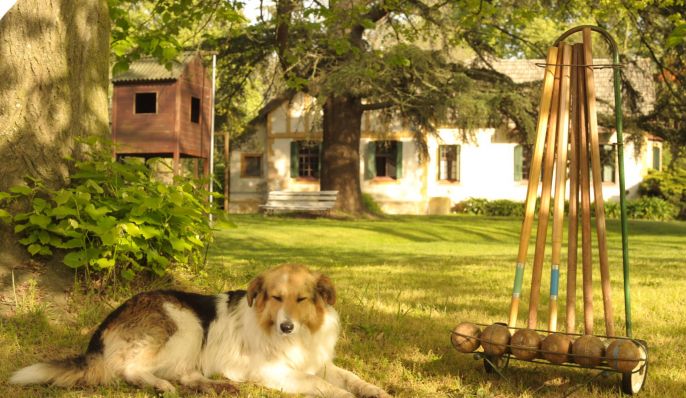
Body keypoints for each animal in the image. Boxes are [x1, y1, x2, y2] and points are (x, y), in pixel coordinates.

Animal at [9, 262, 392, 396]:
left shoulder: (318, 362)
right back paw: (160, 385)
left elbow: (351, 378)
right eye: (276, 297)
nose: (286, 327)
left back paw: (217, 386)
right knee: (129, 370)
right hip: (187, 325)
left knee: (186, 375)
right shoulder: (273, 372)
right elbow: (322, 385)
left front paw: (376, 391)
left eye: (302, 299)